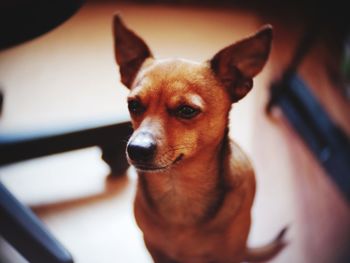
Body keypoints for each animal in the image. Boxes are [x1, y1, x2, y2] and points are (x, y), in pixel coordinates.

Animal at [113, 14, 286, 263]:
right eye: (133, 105)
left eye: (187, 110)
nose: (136, 149)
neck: (178, 190)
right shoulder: (154, 248)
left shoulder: (230, 254)